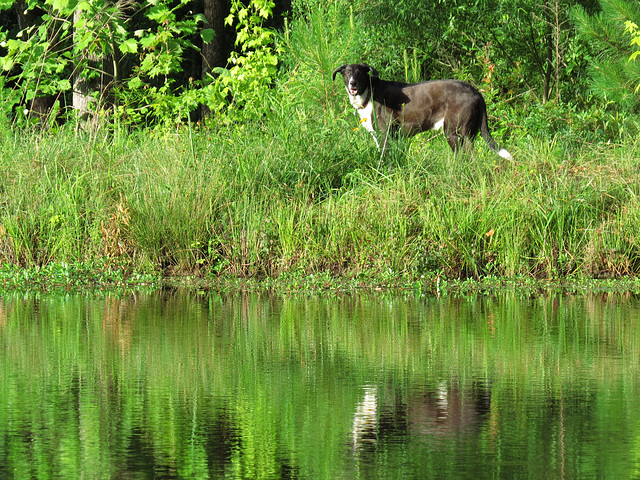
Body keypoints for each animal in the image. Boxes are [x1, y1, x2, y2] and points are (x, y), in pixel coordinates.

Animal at [332, 61, 512, 159]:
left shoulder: (385, 136)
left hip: (454, 134)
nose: (353, 83)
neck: (369, 92)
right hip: (466, 135)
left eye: (359, 73)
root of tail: (475, 92)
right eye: (347, 73)